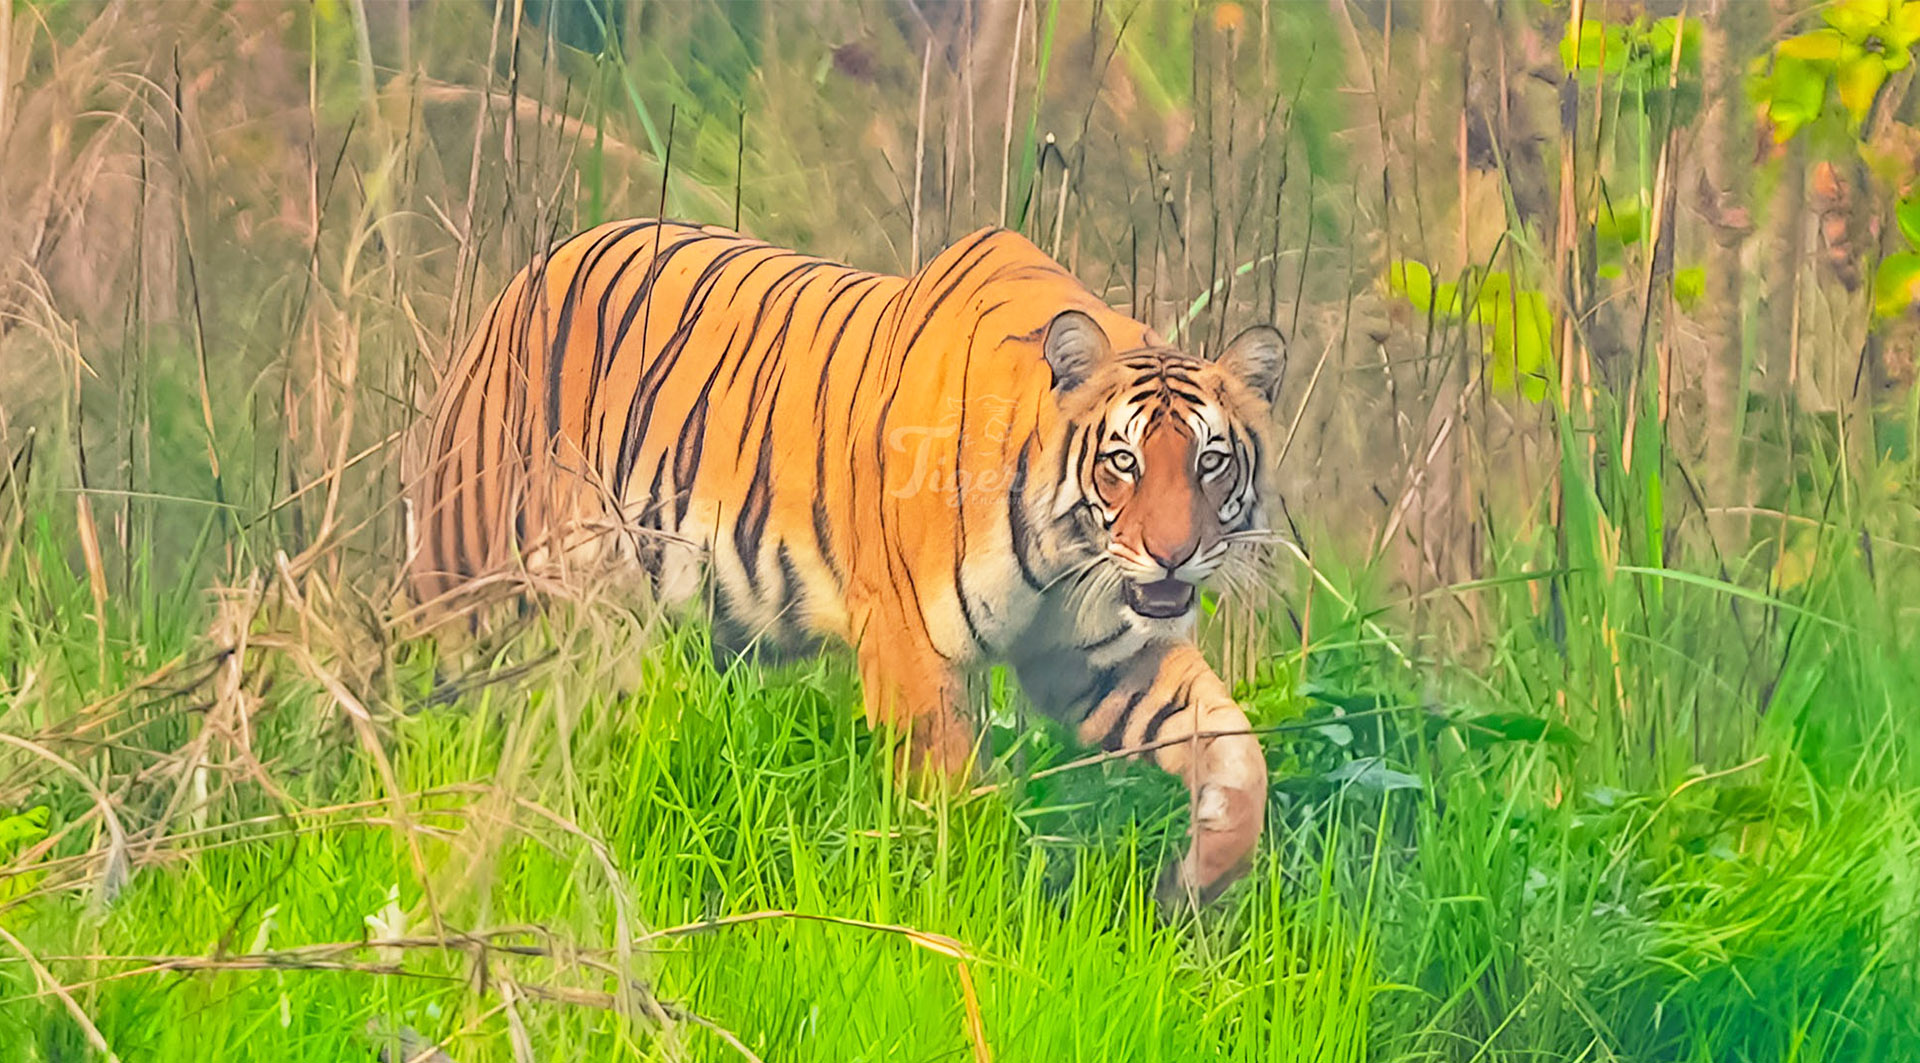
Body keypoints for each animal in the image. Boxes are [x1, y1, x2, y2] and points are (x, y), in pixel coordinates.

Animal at [407, 219, 1285, 906]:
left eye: (1209, 461)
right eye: (1122, 462)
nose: (1174, 556)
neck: (1070, 549)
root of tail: (522, 276)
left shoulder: (1098, 654)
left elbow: (1237, 752)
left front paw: (1196, 880)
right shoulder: (914, 646)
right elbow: (956, 804)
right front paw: (970, 916)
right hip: (476, 581)